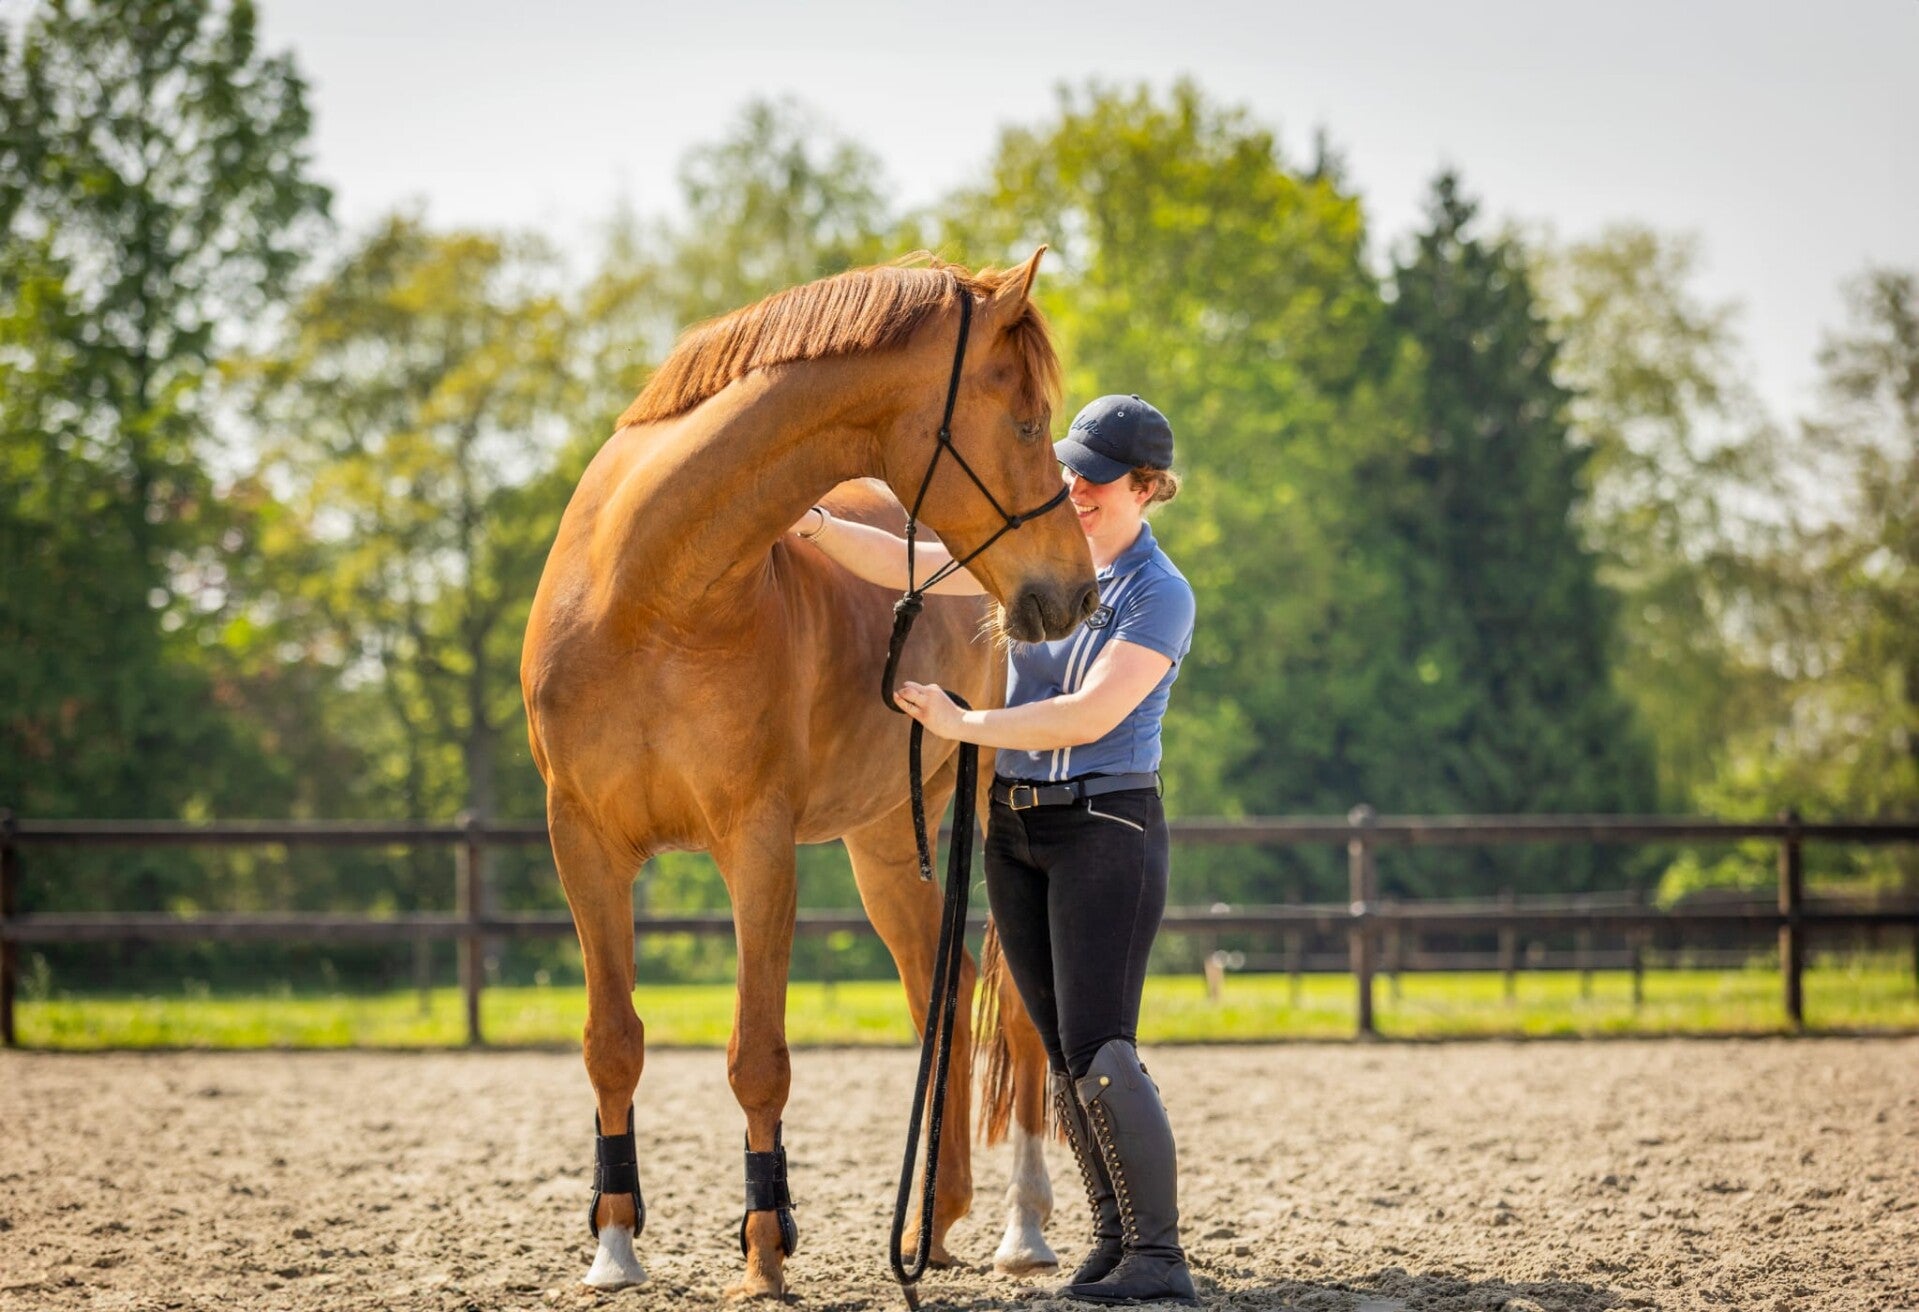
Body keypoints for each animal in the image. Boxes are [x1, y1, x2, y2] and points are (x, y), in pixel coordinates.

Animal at [520, 249, 1099, 1298]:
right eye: (1027, 422)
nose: (1071, 592)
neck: (649, 591)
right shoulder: (580, 840)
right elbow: (611, 1042)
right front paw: (614, 1246)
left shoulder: (757, 842)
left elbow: (758, 1056)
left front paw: (763, 1251)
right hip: (882, 840)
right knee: (937, 985)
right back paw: (931, 1222)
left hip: (993, 811)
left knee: (1014, 1011)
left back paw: (1021, 1227)